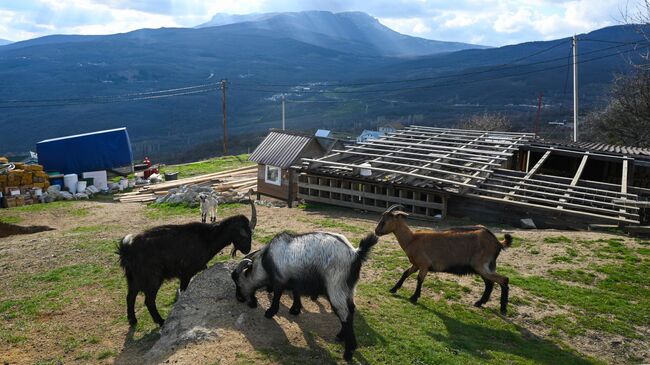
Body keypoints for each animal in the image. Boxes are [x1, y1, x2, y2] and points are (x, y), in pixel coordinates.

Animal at [119, 198, 256, 326]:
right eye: (244, 235)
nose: (247, 249)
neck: (208, 238)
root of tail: (127, 249)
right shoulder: (186, 273)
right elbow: (183, 290)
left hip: (134, 278)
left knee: (130, 296)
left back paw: (132, 320)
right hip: (152, 278)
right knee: (149, 301)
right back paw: (161, 321)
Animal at [374, 205, 512, 312]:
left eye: (384, 221)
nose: (376, 231)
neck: (412, 239)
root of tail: (497, 242)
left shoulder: (424, 265)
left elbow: (419, 279)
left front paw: (414, 297)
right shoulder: (416, 264)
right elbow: (405, 273)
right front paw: (393, 289)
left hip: (481, 265)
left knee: (503, 280)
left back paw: (503, 308)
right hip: (482, 267)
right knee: (490, 283)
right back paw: (479, 303)